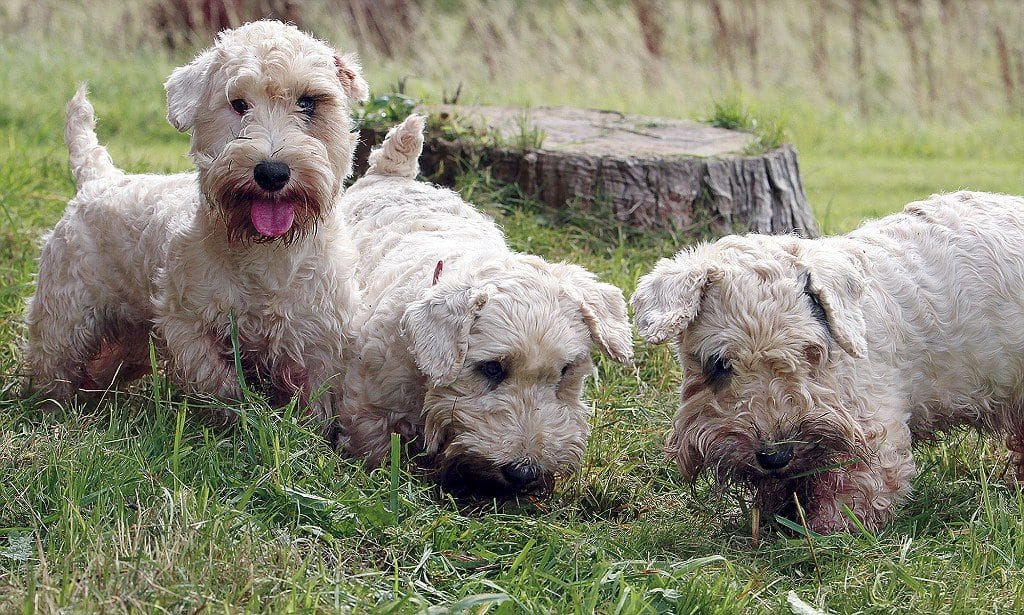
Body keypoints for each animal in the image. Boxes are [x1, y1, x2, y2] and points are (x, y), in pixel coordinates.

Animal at [22, 24, 368, 427]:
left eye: (309, 102)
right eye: (238, 104)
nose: (271, 172)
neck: (266, 253)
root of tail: (97, 178)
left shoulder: (320, 336)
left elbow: (315, 401)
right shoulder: (186, 321)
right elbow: (215, 378)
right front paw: (237, 416)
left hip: (128, 335)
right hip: (65, 317)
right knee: (54, 365)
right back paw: (52, 409)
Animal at [335, 116, 630, 499]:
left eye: (566, 371)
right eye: (491, 368)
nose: (525, 472)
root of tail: (390, 174)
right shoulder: (370, 410)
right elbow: (375, 449)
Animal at [634, 193, 1024, 532]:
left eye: (809, 351)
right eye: (718, 363)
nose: (776, 456)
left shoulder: (873, 438)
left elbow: (848, 496)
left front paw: (825, 535)